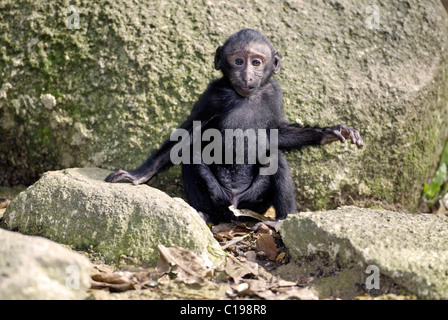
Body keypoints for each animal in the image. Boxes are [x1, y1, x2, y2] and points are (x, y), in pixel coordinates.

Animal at [106, 29, 364, 225]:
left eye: (256, 62)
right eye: (238, 61)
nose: (247, 75)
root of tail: (235, 203)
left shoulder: (274, 94)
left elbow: (278, 134)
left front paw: (329, 133)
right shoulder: (212, 95)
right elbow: (188, 134)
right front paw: (140, 174)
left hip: (255, 202)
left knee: (276, 158)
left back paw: (282, 221)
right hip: (219, 199)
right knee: (191, 157)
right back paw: (203, 214)